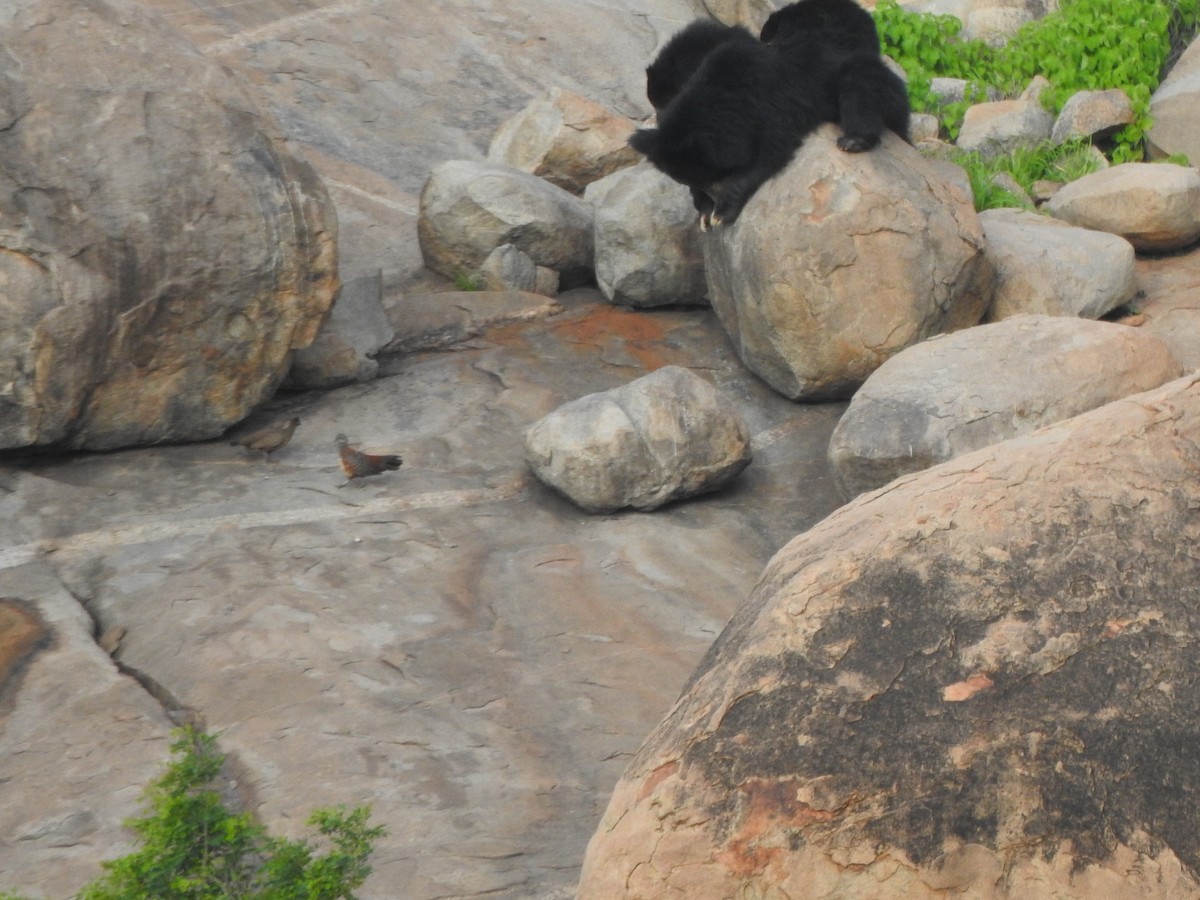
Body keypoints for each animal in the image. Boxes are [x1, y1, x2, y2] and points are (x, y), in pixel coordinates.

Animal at [633, 0, 902, 226]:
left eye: (711, 178)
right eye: (698, 181)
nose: (712, 197)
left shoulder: (772, 106)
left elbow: (769, 153)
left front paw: (722, 213)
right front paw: (705, 213)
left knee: (858, 84)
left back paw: (854, 140)